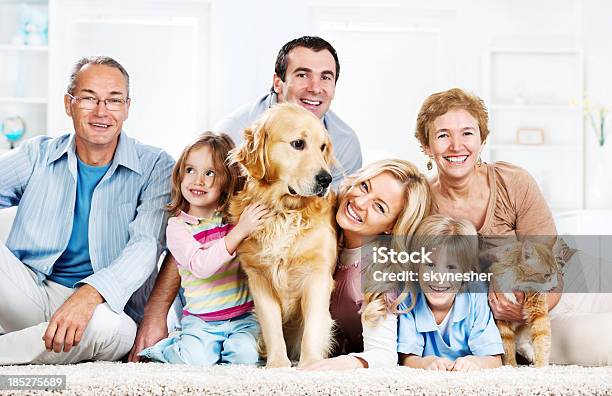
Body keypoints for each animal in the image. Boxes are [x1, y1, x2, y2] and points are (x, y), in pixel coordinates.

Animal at [228, 103, 338, 368]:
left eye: (323, 147)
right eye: (298, 144)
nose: (326, 179)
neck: (284, 212)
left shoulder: (318, 274)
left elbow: (312, 327)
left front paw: (310, 364)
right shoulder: (258, 276)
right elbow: (272, 326)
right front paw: (278, 364)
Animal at [488, 238, 560, 368]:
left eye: (556, 274)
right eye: (546, 275)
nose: (554, 286)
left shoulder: (539, 313)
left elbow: (542, 339)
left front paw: (541, 366)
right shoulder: (501, 320)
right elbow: (507, 347)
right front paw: (511, 367)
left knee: (521, 343)